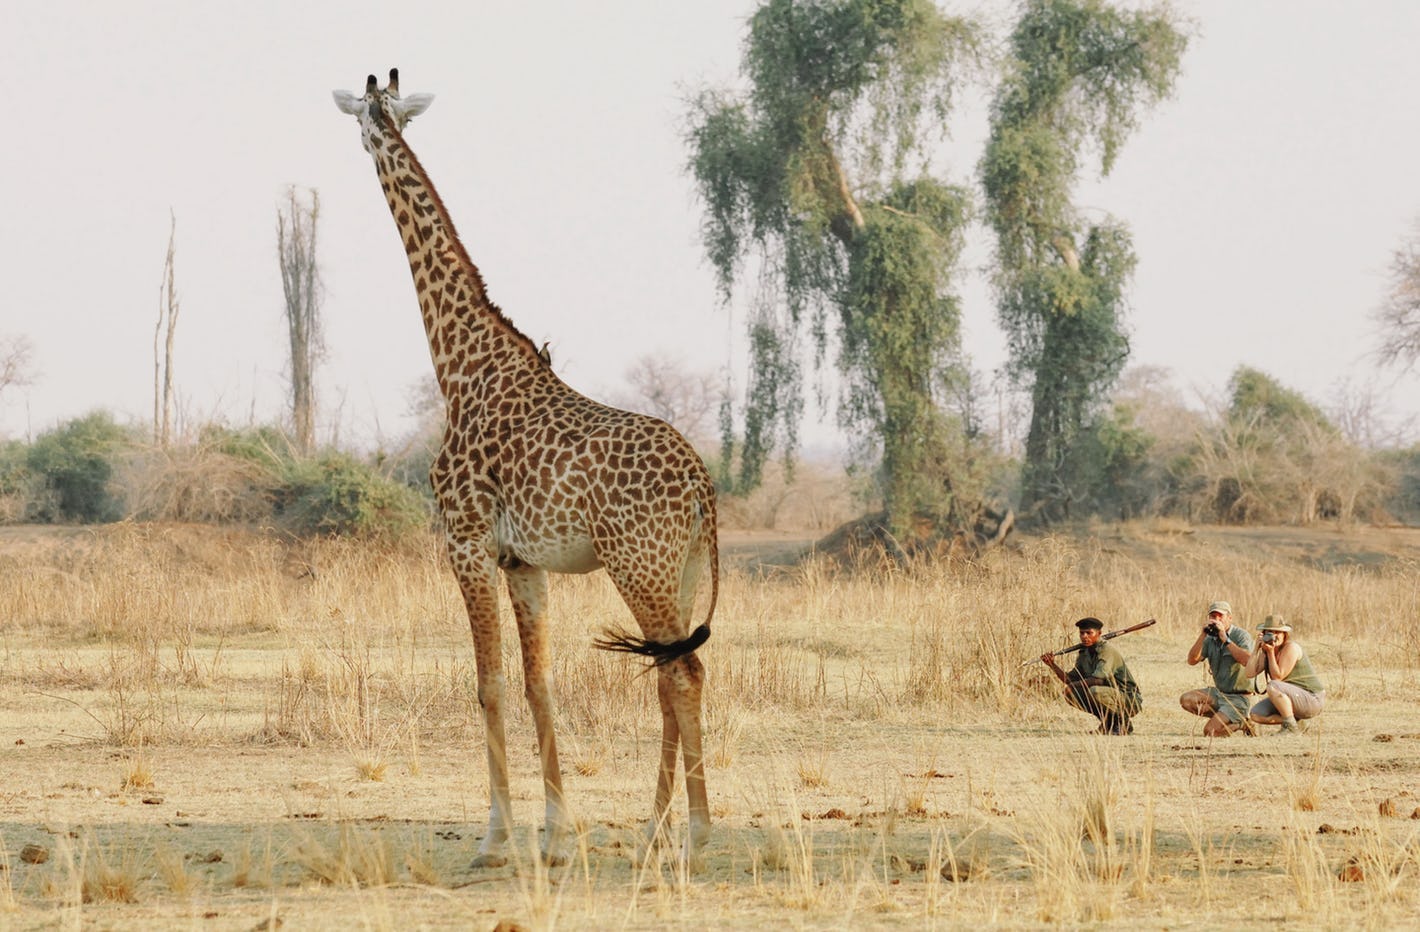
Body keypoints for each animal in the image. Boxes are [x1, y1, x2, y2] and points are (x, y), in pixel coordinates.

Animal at [333, 71, 721, 863]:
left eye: (363, 121)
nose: (363, 138)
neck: (460, 365)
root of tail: (702, 486)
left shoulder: (466, 542)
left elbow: (488, 682)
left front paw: (494, 836)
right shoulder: (523, 561)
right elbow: (540, 683)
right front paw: (555, 833)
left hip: (640, 564)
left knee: (683, 670)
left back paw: (694, 834)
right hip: (683, 567)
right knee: (672, 671)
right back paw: (654, 828)